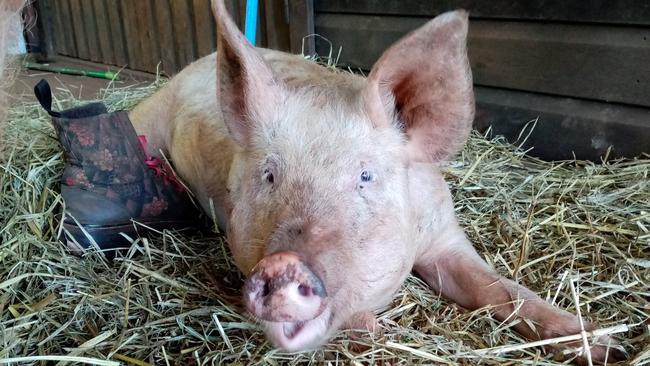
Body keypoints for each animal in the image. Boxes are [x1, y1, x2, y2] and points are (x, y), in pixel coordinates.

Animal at [128, 0, 624, 360]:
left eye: (365, 176)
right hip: (146, 119)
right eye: (269, 176)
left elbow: (501, 289)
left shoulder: (444, 234)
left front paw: (606, 348)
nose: (283, 264)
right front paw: (375, 332)